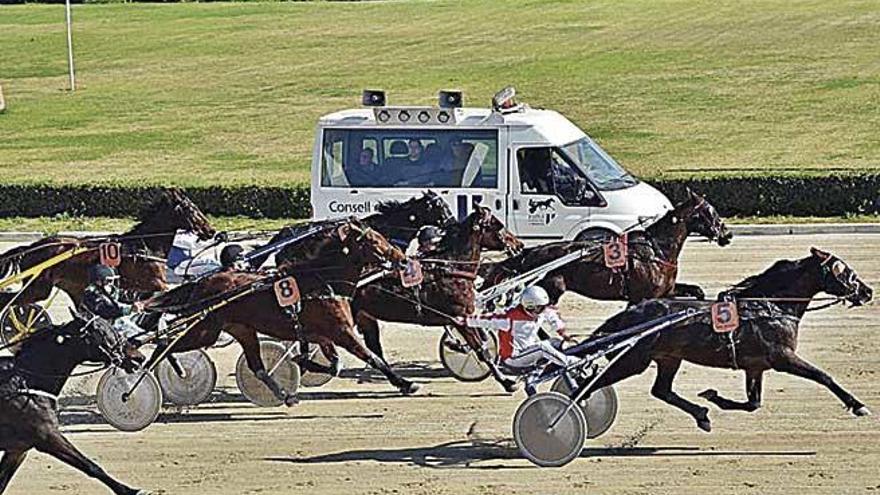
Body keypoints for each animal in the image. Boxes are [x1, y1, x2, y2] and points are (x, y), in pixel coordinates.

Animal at [0, 191, 216, 310]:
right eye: (192, 209)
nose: (211, 230)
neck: (145, 245)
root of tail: (30, 248)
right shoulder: (155, 282)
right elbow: (166, 292)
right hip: (37, 288)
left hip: (69, 285)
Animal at [146, 219, 414, 404]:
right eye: (374, 241)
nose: (402, 259)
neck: (323, 281)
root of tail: (202, 283)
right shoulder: (342, 332)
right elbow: (373, 358)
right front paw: (405, 383)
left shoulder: (322, 334)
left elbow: (334, 364)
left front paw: (301, 362)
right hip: (205, 330)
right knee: (165, 344)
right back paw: (149, 370)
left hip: (241, 329)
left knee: (257, 366)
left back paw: (285, 395)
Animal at [350, 205, 524, 392]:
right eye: (499, 225)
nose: (519, 244)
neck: (451, 268)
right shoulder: (459, 318)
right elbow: (481, 350)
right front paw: (506, 382)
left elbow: (481, 340)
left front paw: (460, 345)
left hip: (365, 316)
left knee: (375, 352)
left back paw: (405, 383)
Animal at [478, 191, 732, 304]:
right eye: (710, 211)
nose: (727, 234)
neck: (656, 251)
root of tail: (531, 253)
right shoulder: (641, 297)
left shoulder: (665, 291)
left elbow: (696, 291)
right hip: (551, 288)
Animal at [576, 248, 872, 434]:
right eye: (844, 271)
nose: (868, 291)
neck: (771, 306)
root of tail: (631, 313)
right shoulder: (782, 357)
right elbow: (823, 376)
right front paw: (858, 405)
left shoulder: (755, 366)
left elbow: (753, 404)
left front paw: (713, 398)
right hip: (633, 360)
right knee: (589, 385)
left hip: (669, 358)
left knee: (661, 390)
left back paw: (701, 415)